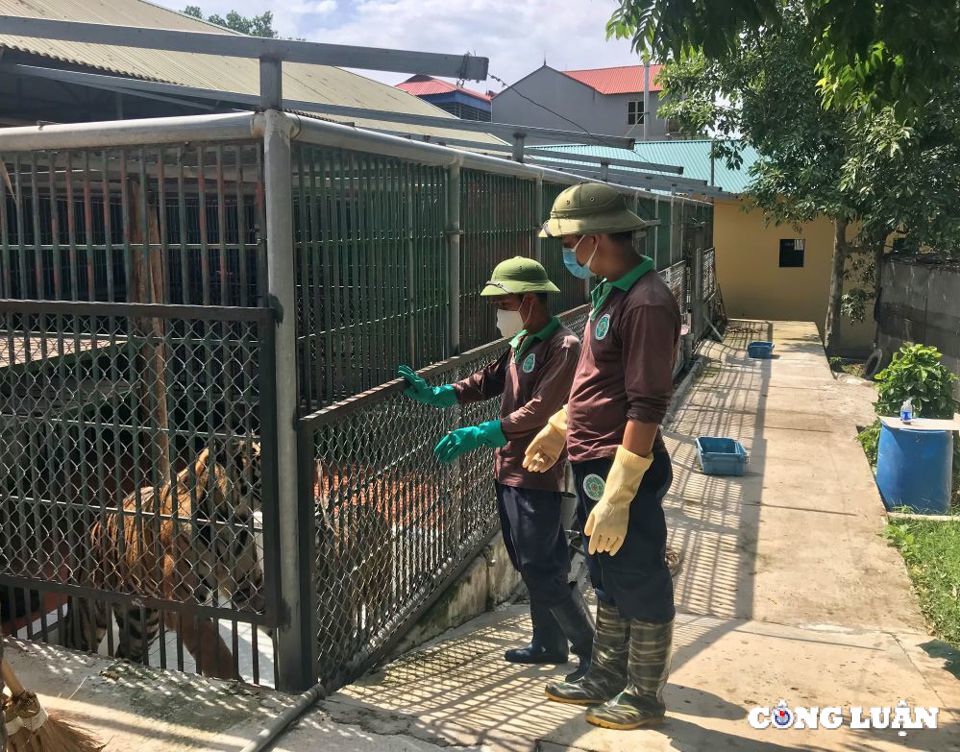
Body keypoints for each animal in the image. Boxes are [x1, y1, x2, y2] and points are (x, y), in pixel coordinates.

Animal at [61, 438, 264, 680]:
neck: (229, 521)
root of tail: (95, 525)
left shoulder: (247, 589)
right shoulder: (184, 603)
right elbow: (214, 651)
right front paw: (234, 682)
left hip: (141, 624)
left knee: (125, 651)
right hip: (90, 615)